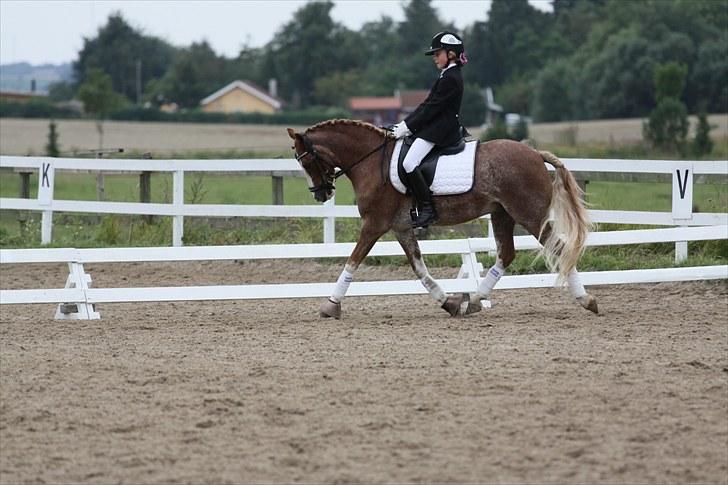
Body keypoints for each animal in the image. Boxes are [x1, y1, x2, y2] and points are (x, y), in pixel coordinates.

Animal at [284, 119, 596, 320]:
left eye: (306, 160)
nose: (321, 194)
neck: (371, 161)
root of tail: (535, 153)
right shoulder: (401, 227)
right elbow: (419, 268)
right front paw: (449, 303)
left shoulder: (374, 224)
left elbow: (353, 260)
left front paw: (330, 305)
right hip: (502, 213)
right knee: (506, 254)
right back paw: (473, 301)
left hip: (529, 213)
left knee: (559, 248)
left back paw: (586, 300)